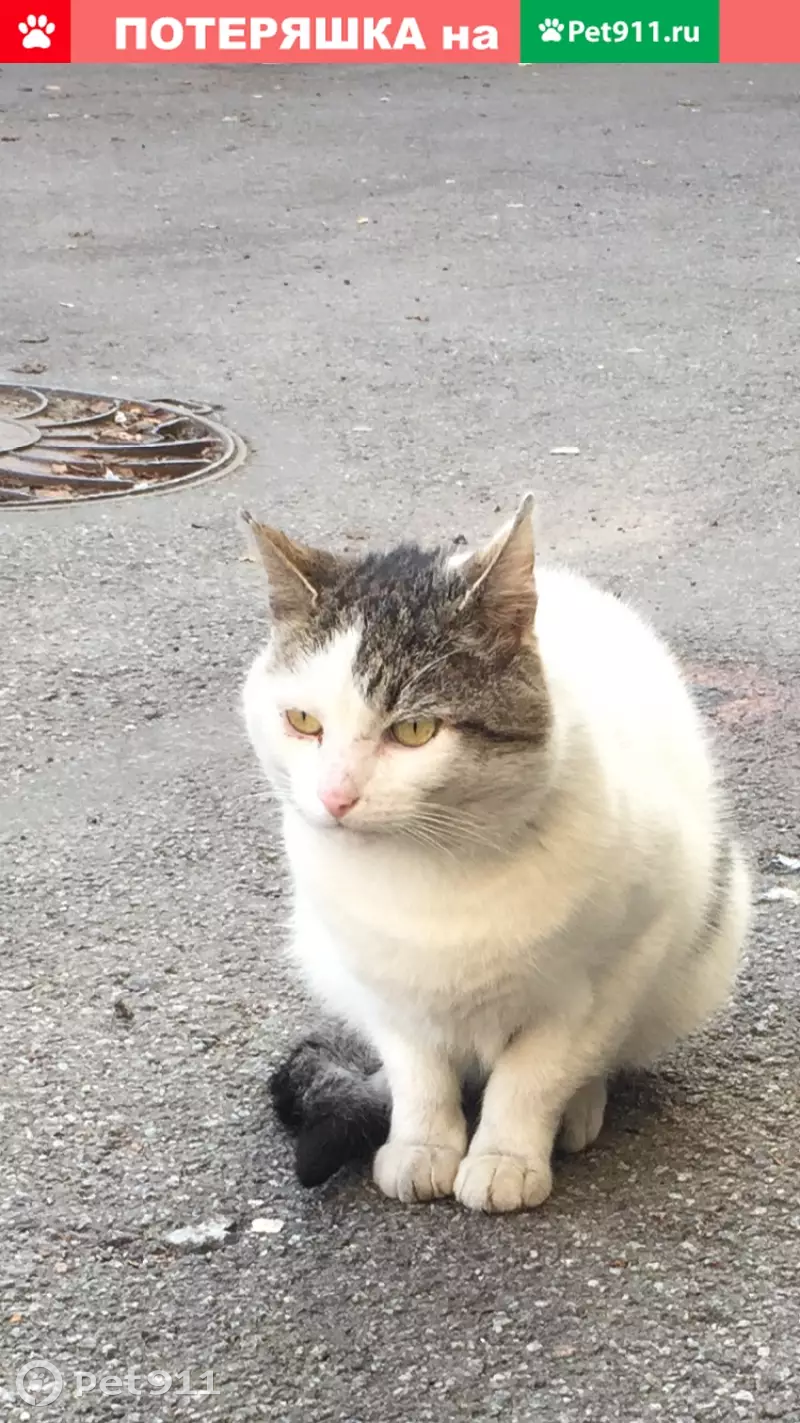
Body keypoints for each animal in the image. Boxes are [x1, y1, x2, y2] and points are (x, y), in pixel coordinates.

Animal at [242, 497, 750, 1213]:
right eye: (303, 722)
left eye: (414, 730)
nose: (335, 796)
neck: (434, 872)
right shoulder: (385, 986)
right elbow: (418, 1073)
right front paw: (423, 1144)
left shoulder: (619, 965)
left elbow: (535, 1074)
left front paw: (506, 1156)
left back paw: (579, 1110)